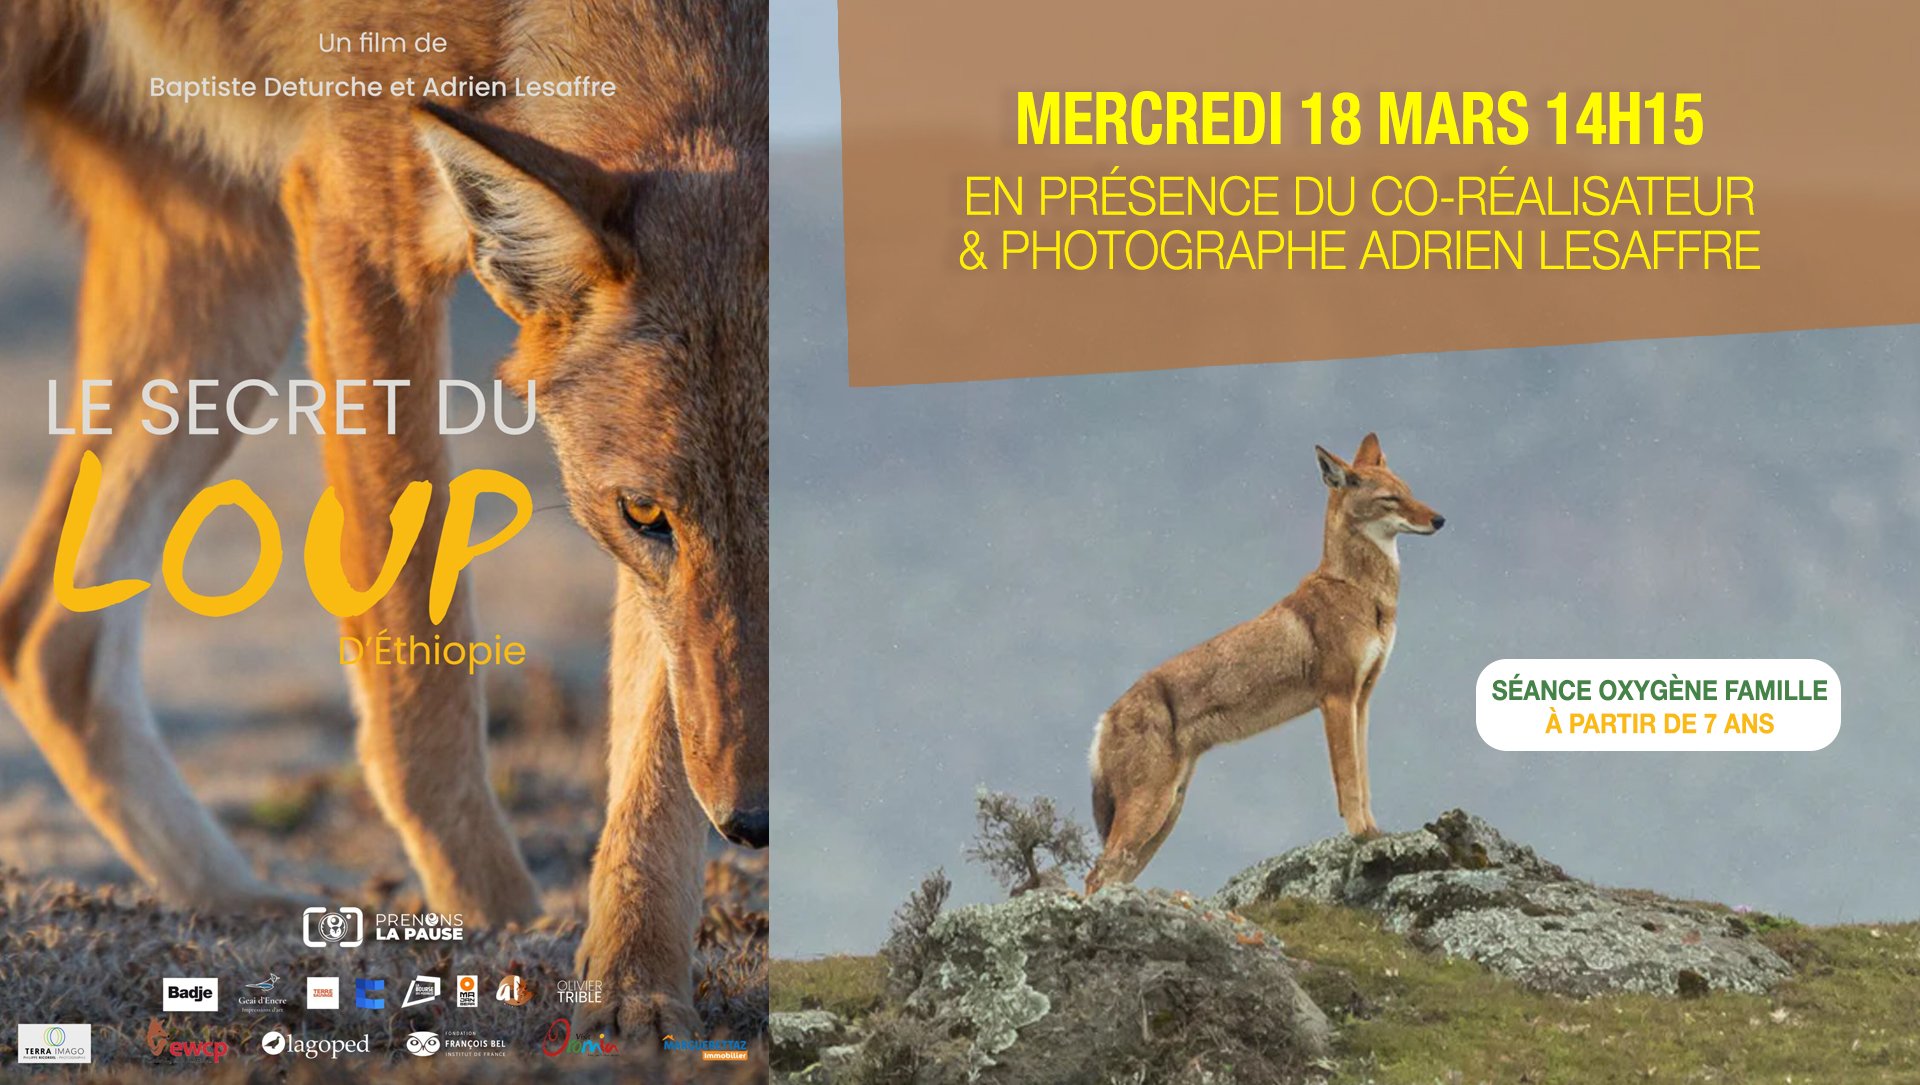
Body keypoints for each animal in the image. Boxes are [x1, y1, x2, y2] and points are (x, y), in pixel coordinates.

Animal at [0, 0, 765, 1038]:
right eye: (645, 514)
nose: (752, 820)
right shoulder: (358, 217)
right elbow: (419, 668)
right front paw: (493, 928)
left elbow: (656, 744)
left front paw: (634, 986)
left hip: (235, 290)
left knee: (46, 641)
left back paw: (239, 909)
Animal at [1086, 434, 1442, 892]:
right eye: (1390, 499)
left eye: (1410, 491)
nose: (1439, 519)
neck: (1362, 592)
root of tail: (1106, 716)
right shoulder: (1336, 699)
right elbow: (1348, 782)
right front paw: (1361, 835)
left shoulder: (1361, 700)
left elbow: (1363, 780)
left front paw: (1374, 832)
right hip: (1149, 811)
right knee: (1095, 875)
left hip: (1163, 818)